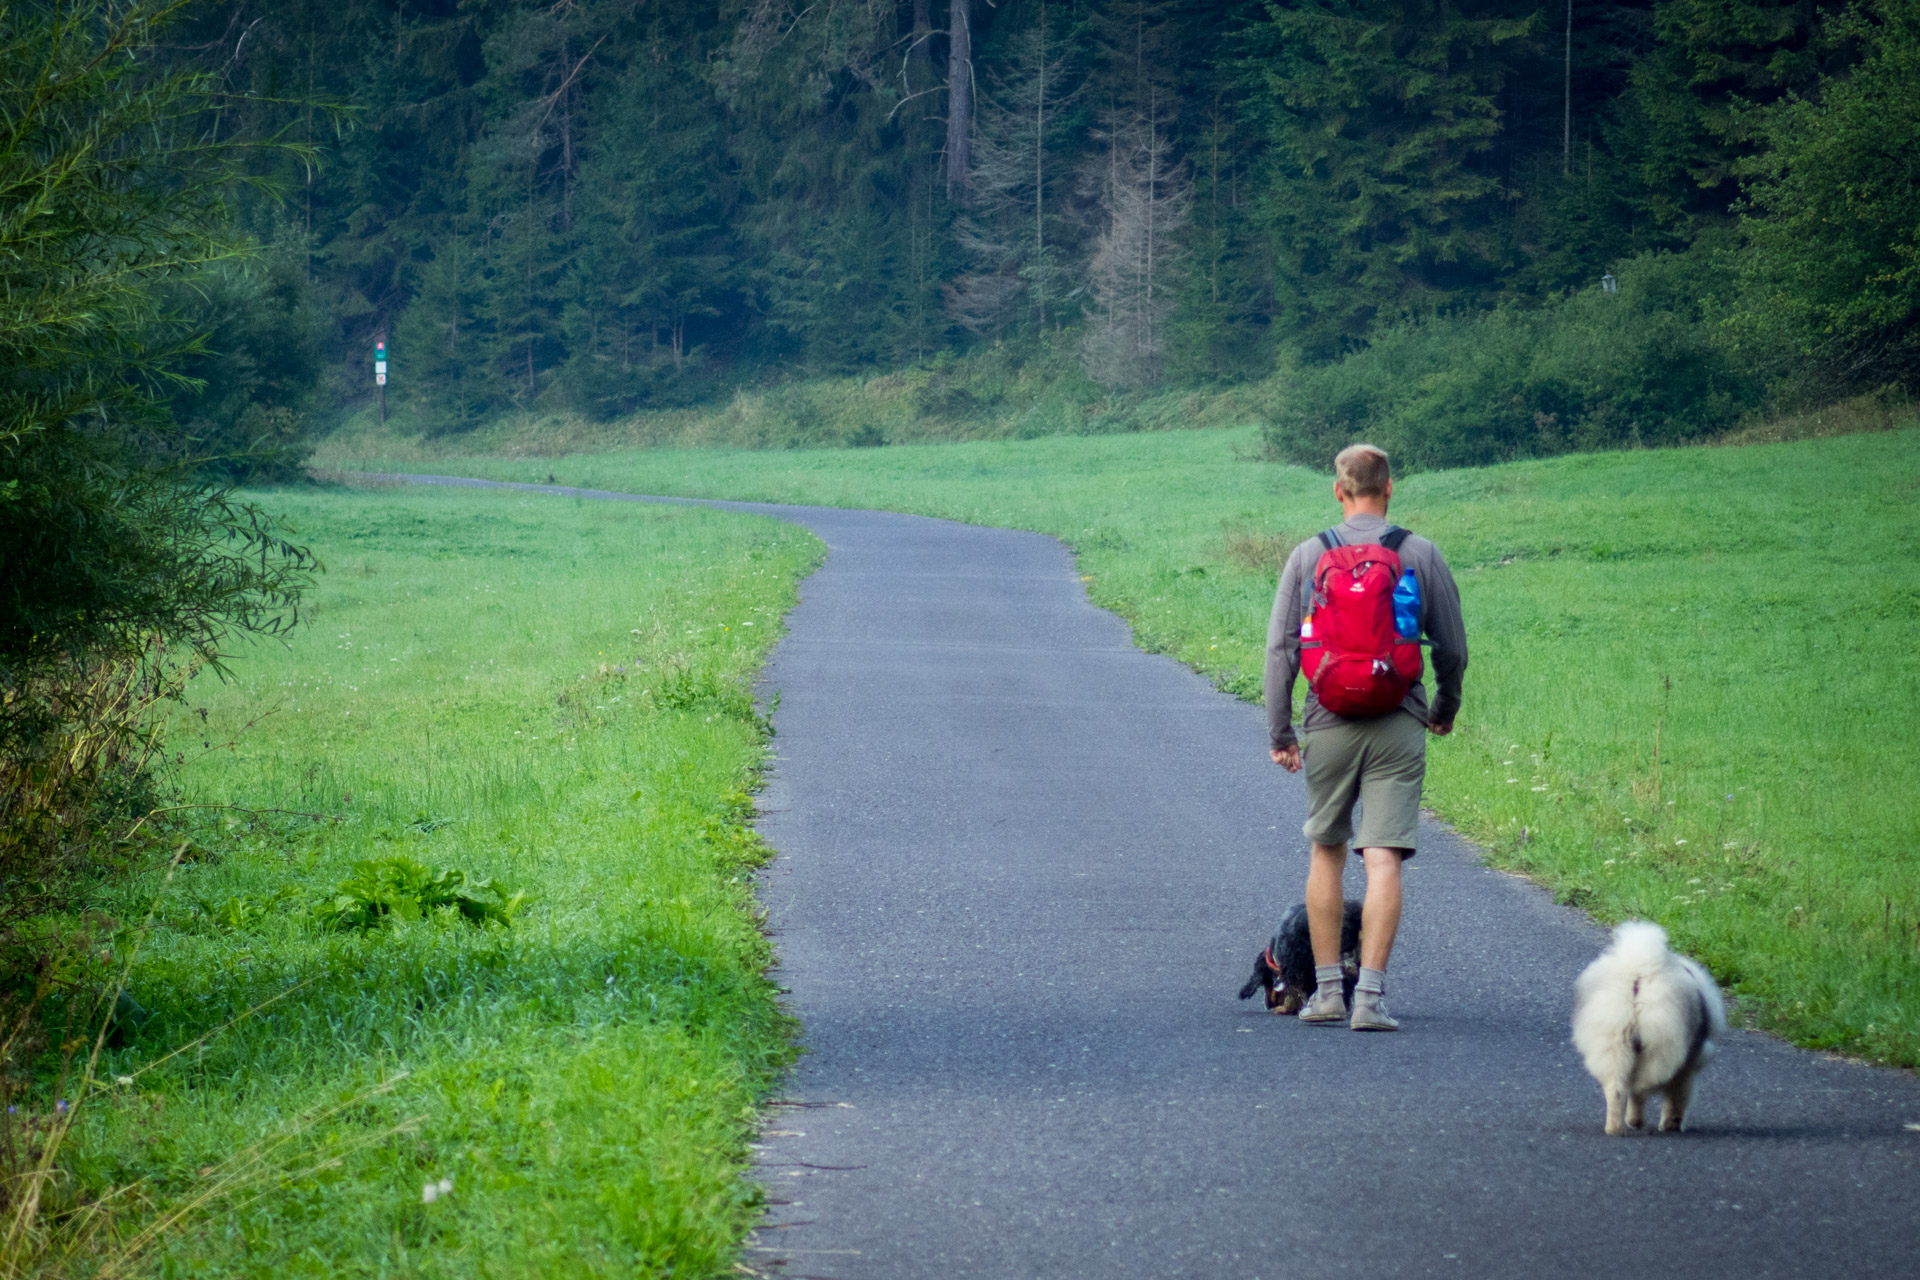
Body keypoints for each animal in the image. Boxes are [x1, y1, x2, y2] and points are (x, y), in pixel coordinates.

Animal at [1574, 921, 1728, 1143]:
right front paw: (1672, 1124)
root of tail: (1638, 973)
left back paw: (1615, 1128)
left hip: (1613, 1043)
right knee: (1640, 1090)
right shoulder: (1687, 1068)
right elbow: (1677, 1098)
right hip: (1658, 1050)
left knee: (1617, 1090)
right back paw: (1636, 1122)